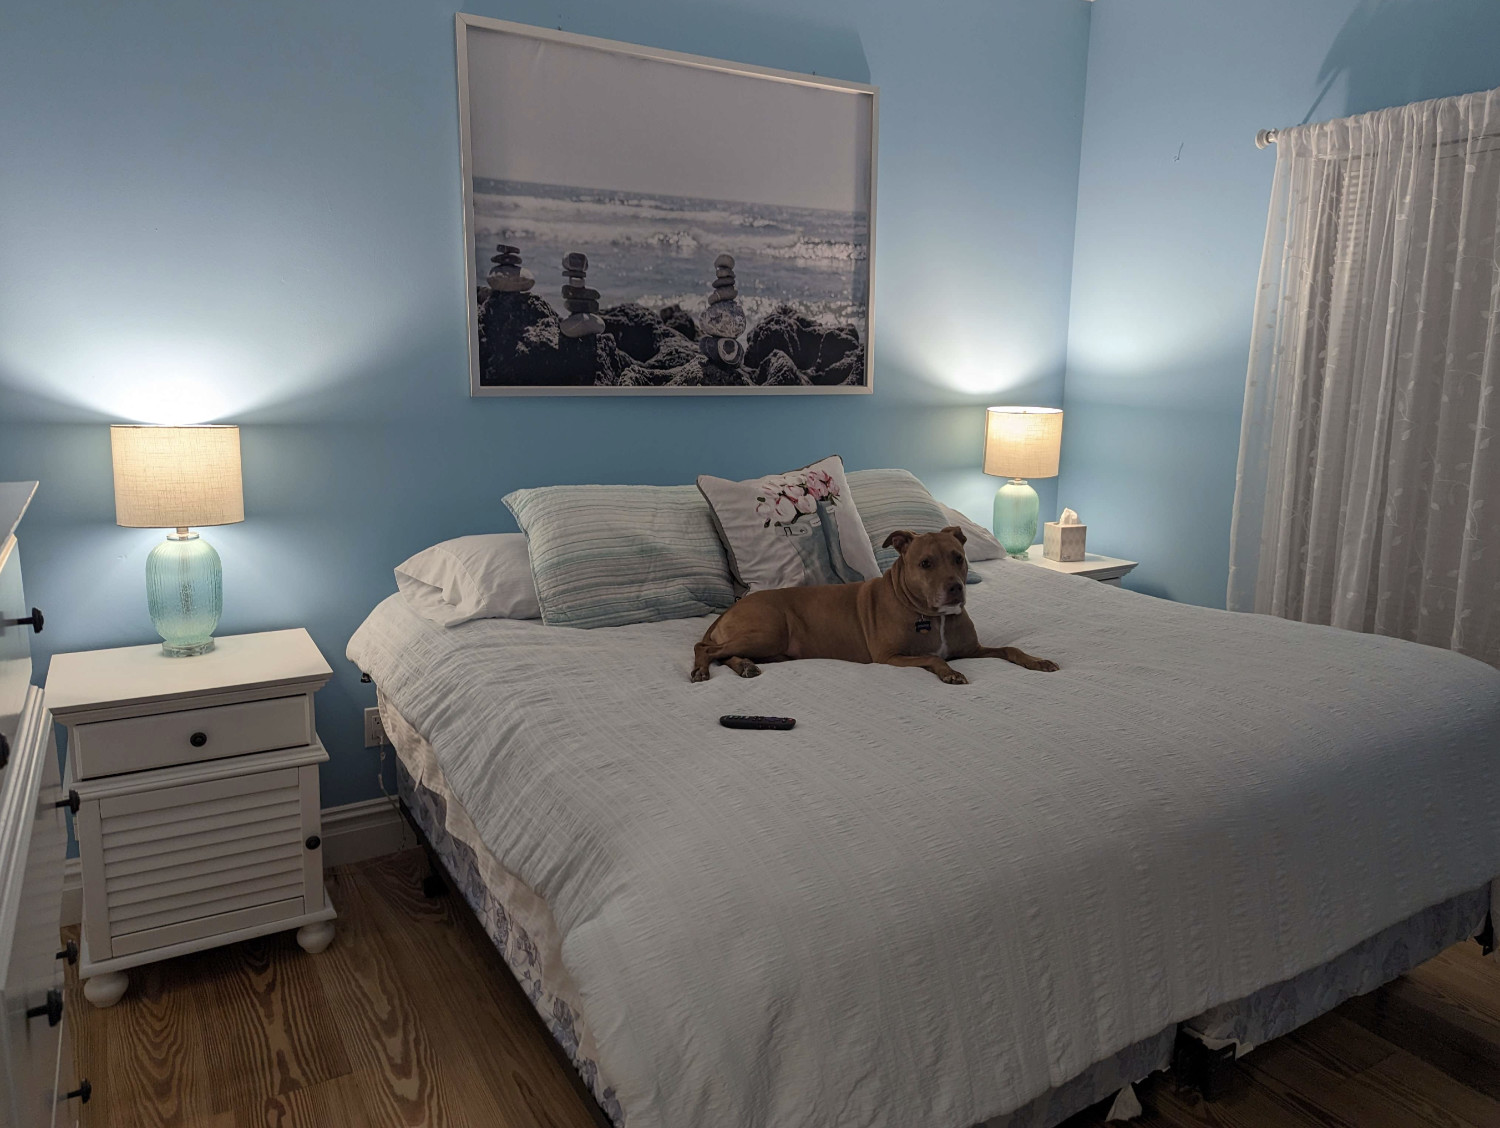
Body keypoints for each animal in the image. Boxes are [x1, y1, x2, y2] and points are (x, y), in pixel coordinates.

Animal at [693, 525, 1062, 684]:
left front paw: (1037, 661)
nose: (955, 589)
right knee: (706, 649)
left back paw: (744, 666)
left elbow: (1010, 648)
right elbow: (932, 656)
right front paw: (949, 673)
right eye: (925, 563)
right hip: (768, 633)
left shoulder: (972, 649)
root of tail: (730, 609)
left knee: (725, 654)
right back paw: (701, 670)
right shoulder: (891, 657)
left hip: (767, 646)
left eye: (958, 557)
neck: (930, 616)